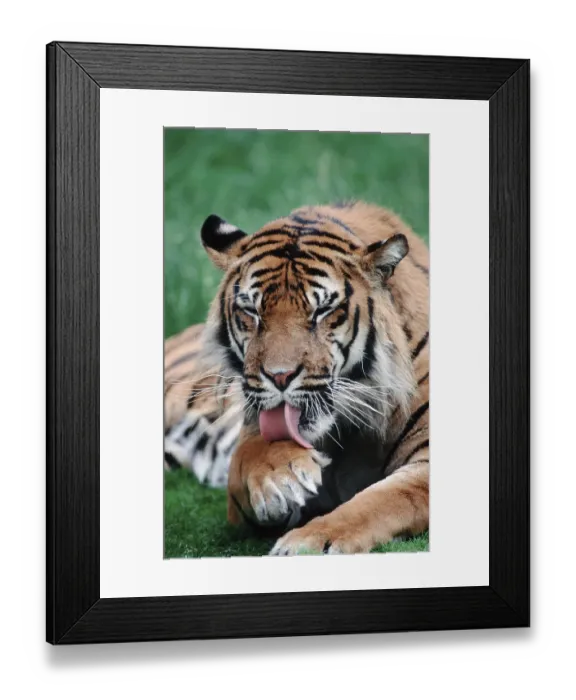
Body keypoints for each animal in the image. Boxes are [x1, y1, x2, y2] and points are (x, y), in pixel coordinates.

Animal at [164, 200, 429, 555]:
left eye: (321, 311)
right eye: (252, 312)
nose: (280, 377)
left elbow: (384, 500)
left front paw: (309, 541)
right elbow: (249, 455)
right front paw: (280, 478)